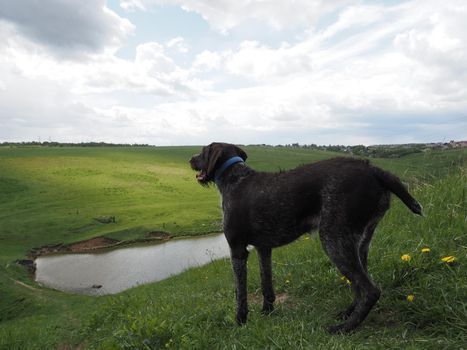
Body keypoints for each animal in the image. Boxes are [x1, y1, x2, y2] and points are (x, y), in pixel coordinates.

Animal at [188, 142, 422, 334]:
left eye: (203, 151)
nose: (190, 159)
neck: (235, 178)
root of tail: (372, 169)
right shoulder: (264, 248)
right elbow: (266, 284)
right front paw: (267, 312)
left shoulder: (237, 250)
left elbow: (240, 293)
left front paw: (240, 321)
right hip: (359, 242)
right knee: (360, 286)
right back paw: (347, 314)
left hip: (333, 239)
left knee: (370, 290)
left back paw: (344, 328)